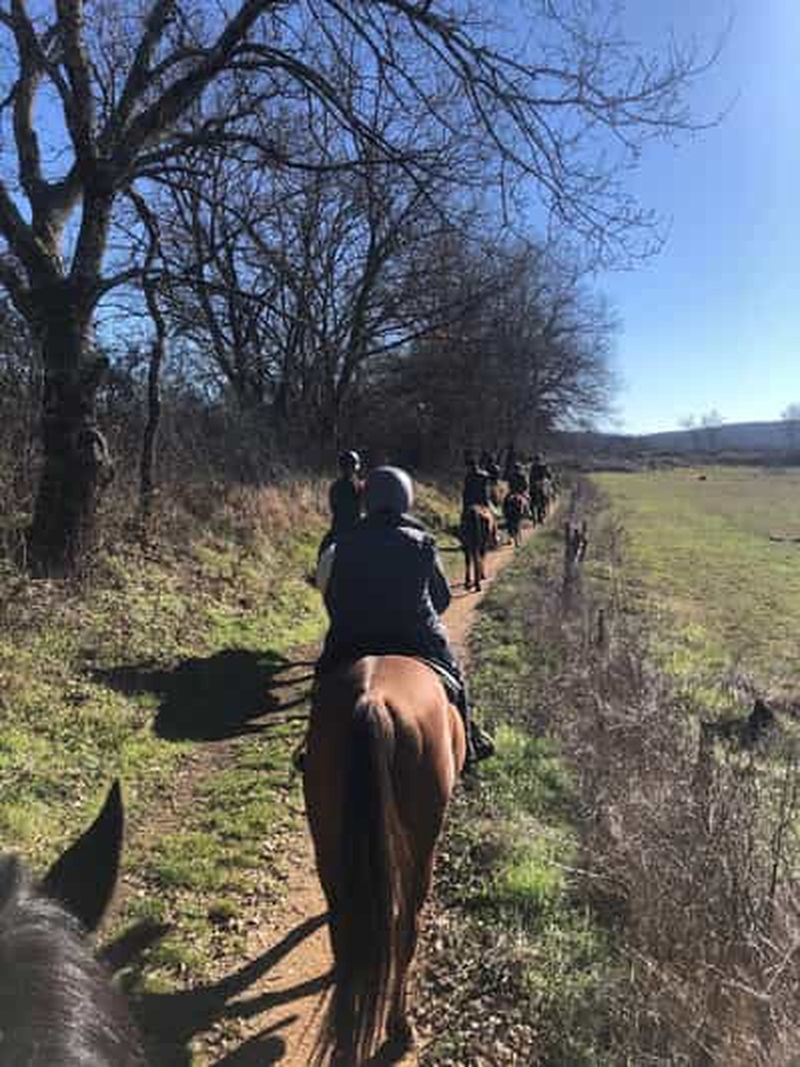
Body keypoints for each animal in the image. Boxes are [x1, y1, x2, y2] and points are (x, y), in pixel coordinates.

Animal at [304, 656, 466, 1066]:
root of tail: (372, 701)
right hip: (422, 845)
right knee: (407, 927)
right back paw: (400, 1027)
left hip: (326, 834)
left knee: (342, 927)